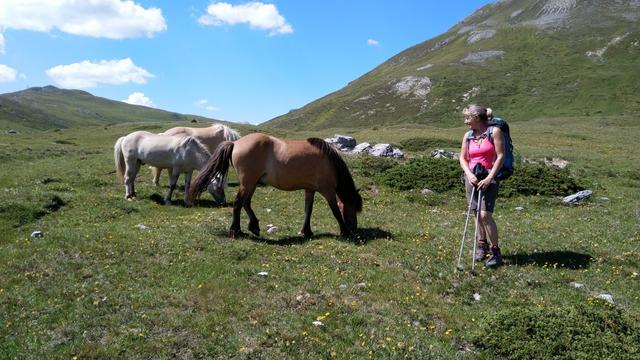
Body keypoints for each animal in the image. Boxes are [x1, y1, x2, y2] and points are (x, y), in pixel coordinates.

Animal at [188, 134, 362, 238]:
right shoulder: (328, 191)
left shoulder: (310, 189)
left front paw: (306, 231)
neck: (329, 161)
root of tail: (236, 142)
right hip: (248, 182)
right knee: (238, 203)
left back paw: (254, 226)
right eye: (352, 207)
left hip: (252, 183)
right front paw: (344, 231)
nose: (354, 229)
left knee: (246, 203)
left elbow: (308, 210)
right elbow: (335, 212)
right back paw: (235, 230)